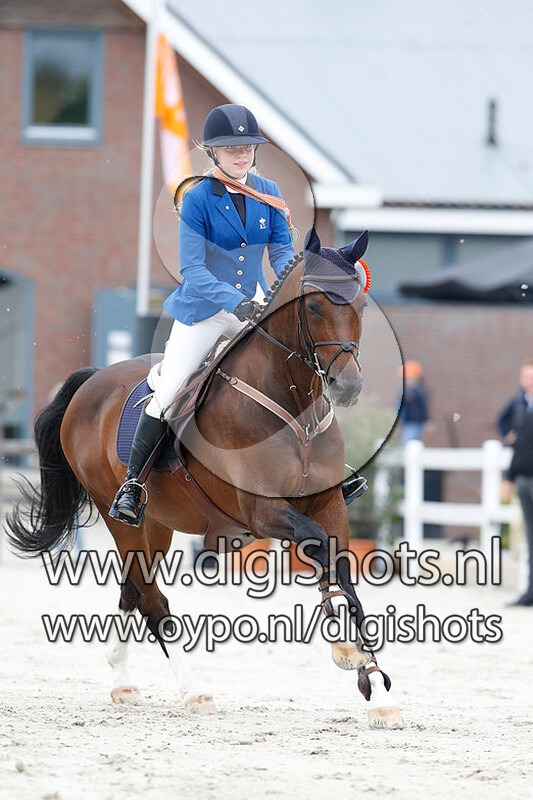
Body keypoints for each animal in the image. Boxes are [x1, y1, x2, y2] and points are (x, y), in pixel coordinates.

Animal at [6, 228, 404, 729]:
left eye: (362, 305)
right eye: (313, 306)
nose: (347, 386)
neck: (293, 406)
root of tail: (93, 381)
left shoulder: (329, 504)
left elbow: (343, 568)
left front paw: (372, 681)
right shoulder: (263, 510)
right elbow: (320, 549)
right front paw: (356, 659)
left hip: (156, 523)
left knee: (134, 586)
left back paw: (121, 678)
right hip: (118, 515)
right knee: (152, 600)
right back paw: (193, 690)